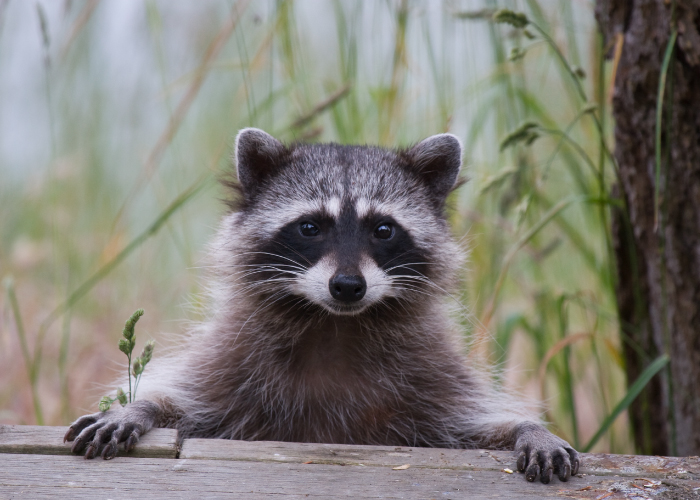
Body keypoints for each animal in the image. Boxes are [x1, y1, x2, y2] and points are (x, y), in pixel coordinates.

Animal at [64, 127, 580, 482]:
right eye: (310, 227)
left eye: (383, 229)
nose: (348, 286)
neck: (334, 325)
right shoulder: (233, 362)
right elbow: (191, 403)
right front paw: (140, 407)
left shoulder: (431, 378)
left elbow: (470, 427)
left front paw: (527, 428)